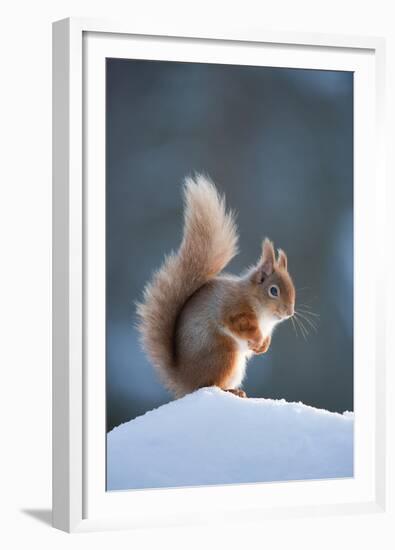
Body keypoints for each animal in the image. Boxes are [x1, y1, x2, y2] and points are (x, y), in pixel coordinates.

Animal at [138, 175, 296, 398]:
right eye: (274, 291)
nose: (289, 313)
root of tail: (185, 382)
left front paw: (263, 346)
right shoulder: (235, 309)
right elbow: (240, 324)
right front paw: (256, 339)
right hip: (224, 354)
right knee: (209, 384)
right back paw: (230, 391)